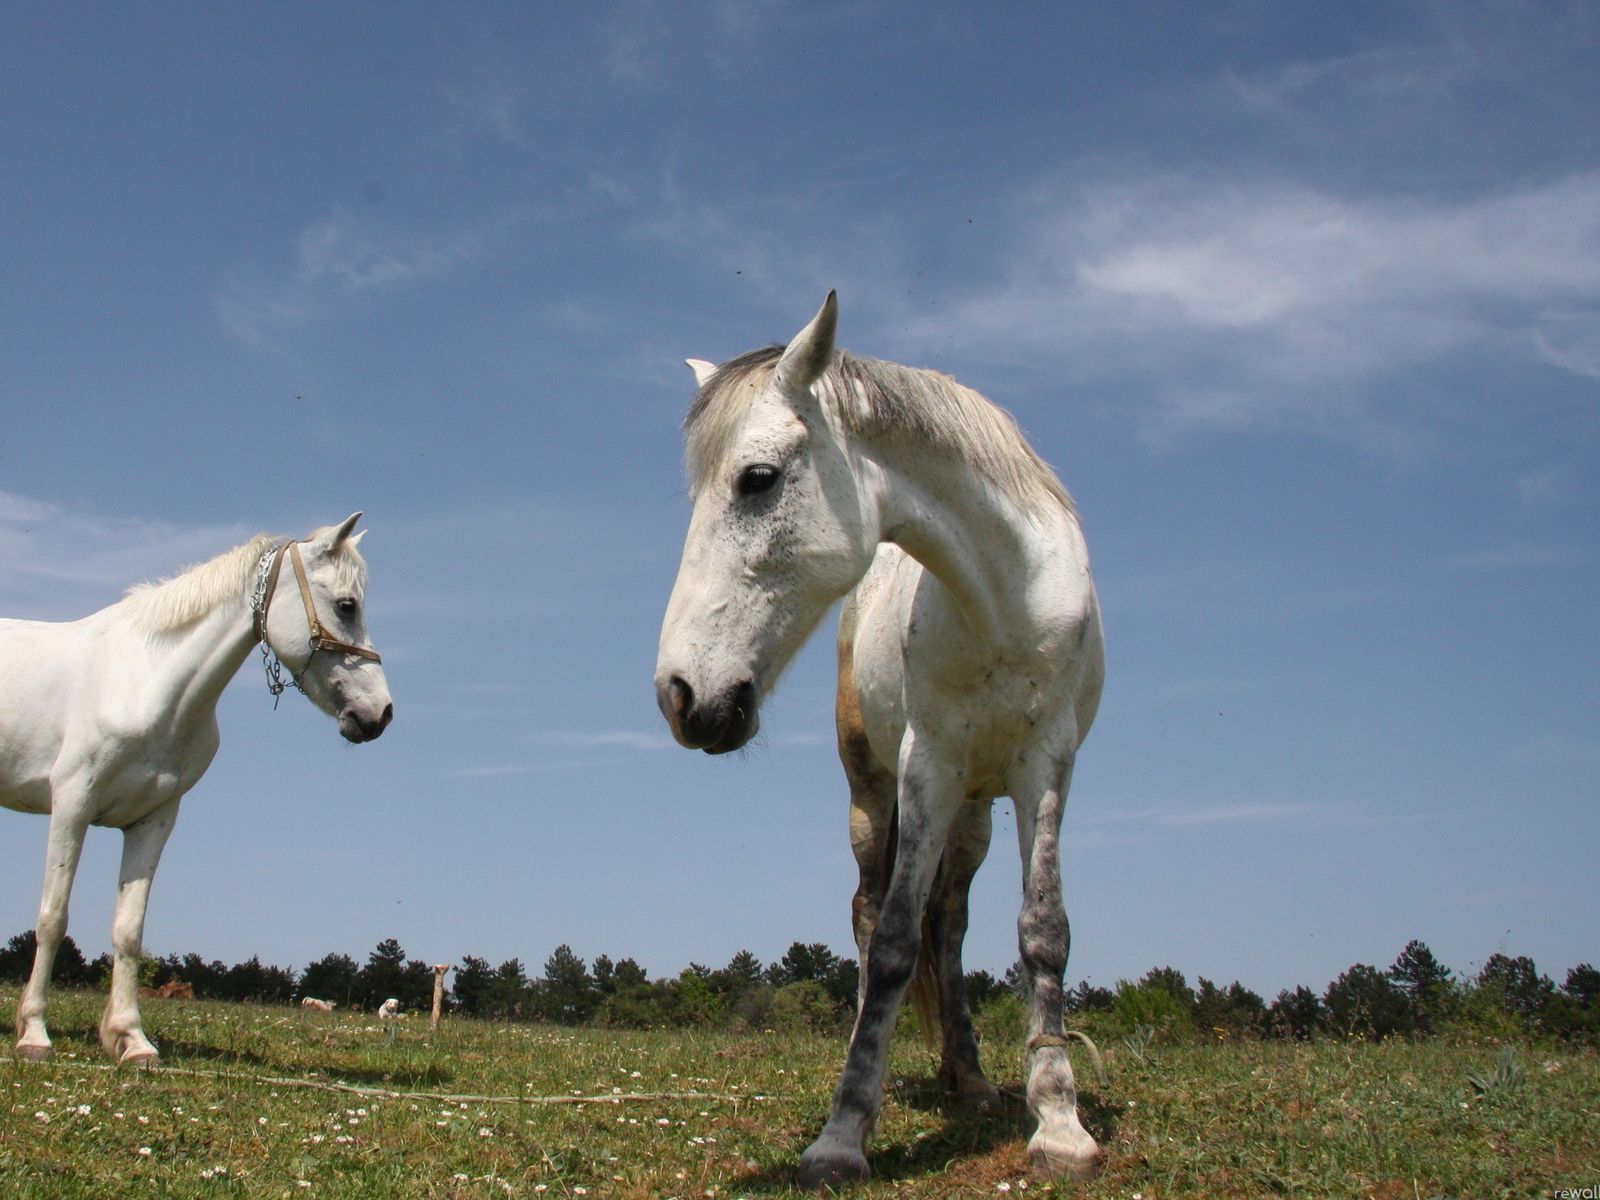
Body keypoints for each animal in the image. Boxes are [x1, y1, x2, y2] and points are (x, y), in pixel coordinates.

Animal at [2, 515, 390, 1062]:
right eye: (346, 605)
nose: (381, 714)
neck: (148, 682)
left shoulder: (154, 820)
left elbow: (129, 932)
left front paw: (131, 1039)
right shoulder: (71, 807)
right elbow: (52, 918)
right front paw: (34, 1032)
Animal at [656, 296, 1107, 1190]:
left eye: (757, 479)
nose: (680, 696)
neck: (1002, 603)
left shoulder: (1048, 767)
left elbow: (1042, 929)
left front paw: (1059, 1122)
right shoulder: (924, 766)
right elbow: (895, 941)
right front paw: (843, 1132)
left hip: (975, 810)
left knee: (952, 922)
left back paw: (970, 1077)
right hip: (874, 794)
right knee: (871, 917)